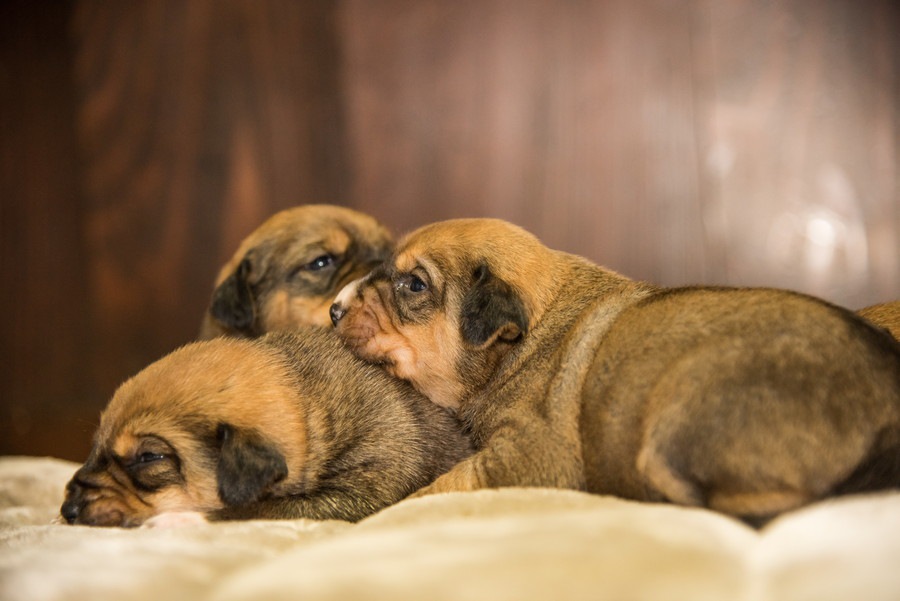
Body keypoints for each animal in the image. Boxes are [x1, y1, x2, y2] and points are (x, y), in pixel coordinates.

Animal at [61, 326, 472, 528]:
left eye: (149, 457)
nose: (67, 511)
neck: (309, 404)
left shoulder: (357, 494)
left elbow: (254, 509)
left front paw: (176, 519)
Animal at [330, 217, 900, 520]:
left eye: (414, 285)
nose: (334, 309)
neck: (523, 338)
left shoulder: (529, 456)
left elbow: (440, 486)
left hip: (678, 412)